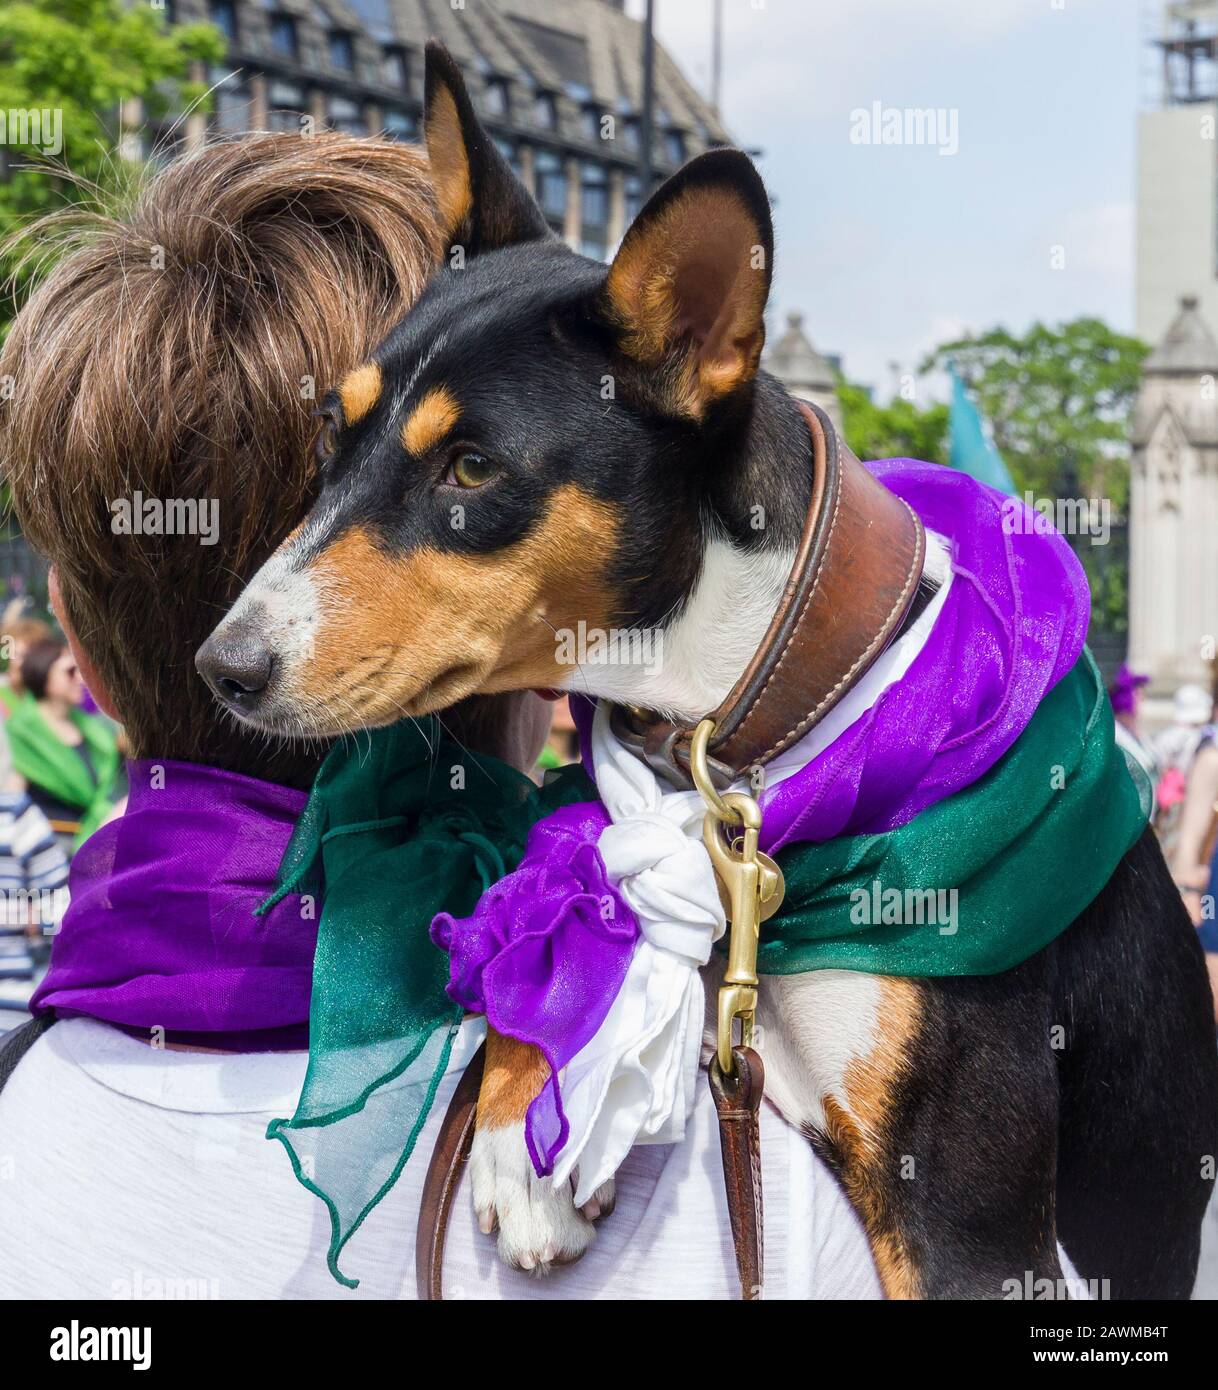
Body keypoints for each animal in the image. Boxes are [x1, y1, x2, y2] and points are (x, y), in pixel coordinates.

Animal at [200, 46, 1218, 1301]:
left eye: (472, 467)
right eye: (331, 440)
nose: (224, 665)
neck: (734, 754)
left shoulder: (971, 1229)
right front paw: (525, 1131)